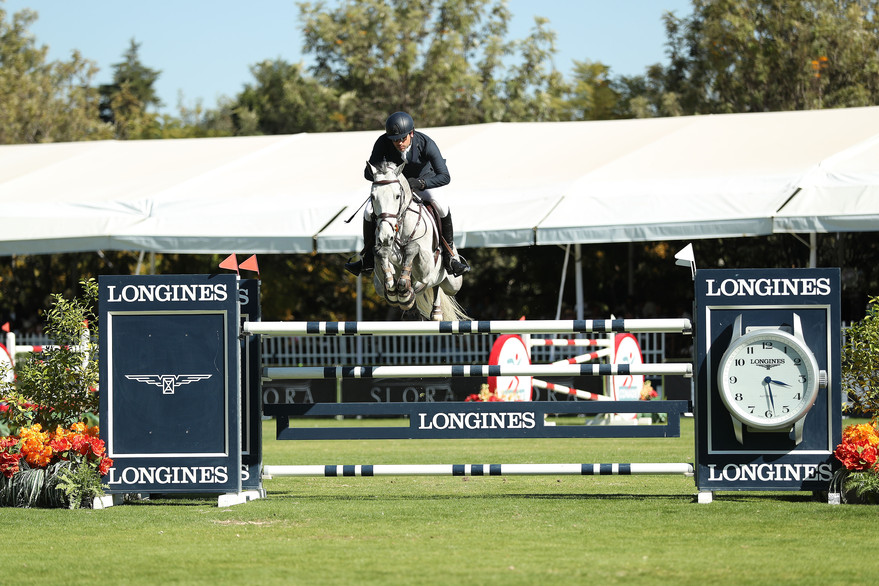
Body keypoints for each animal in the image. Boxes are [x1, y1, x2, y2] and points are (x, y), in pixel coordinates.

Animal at [368, 161, 470, 320]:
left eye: (397, 196)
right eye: (372, 197)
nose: (385, 236)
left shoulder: (426, 267)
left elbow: (413, 248)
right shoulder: (379, 277)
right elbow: (381, 256)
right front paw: (393, 285)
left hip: (453, 284)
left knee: (437, 284)